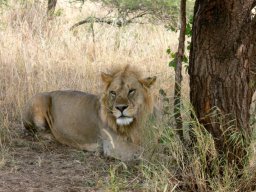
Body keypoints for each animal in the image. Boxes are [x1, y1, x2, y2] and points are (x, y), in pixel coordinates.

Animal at [23, 65, 156, 160]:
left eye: (131, 91)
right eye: (113, 92)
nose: (121, 108)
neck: (130, 125)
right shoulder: (114, 146)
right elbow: (144, 151)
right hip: (41, 99)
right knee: (34, 131)